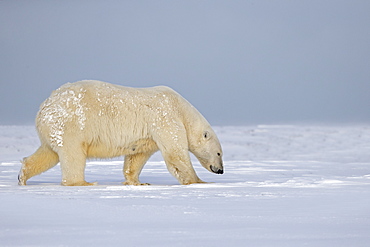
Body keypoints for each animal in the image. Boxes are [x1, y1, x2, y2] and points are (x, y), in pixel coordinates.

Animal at [18, 80, 223, 186]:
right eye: (219, 153)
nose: (220, 170)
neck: (181, 109)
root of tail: (45, 106)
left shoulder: (147, 136)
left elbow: (137, 156)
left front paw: (138, 182)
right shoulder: (165, 117)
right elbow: (175, 154)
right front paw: (199, 182)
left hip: (54, 128)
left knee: (48, 153)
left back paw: (22, 176)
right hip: (72, 125)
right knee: (73, 154)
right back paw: (83, 183)